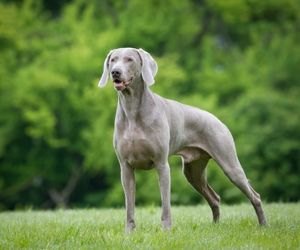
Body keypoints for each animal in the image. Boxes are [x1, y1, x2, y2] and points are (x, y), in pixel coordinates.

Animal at [98, 47, 268, 232]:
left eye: (129, 59)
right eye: (113, 60)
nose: (115, 72)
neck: (132, 109)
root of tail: (218, 120)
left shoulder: (161, 164)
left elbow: (166, 204)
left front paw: (166, 230)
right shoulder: (125, 167)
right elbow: (129, 205)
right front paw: (129, 232)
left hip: (229, 164)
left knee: (255, 196)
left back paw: (263, 225)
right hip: (193, 171)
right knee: (214, 197)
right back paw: (215, 226)